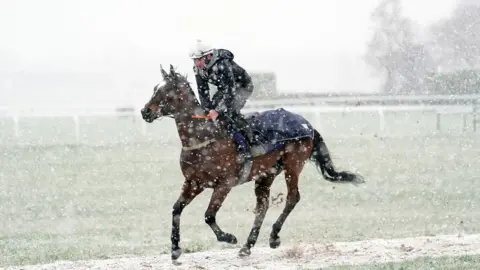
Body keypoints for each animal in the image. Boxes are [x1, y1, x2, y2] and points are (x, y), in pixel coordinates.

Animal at [139, 64, 364, 262]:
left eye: (167, 91)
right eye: (155, 88)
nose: (145, 112)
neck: (203, 138)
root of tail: (306, 123)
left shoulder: (224, 184)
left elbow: (209, 215)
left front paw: (229, 238)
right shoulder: (193, 183)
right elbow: (176, 209)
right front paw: (175, 249)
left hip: (293, 165)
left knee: (292, 198)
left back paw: (273, 236)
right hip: (267, 173)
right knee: (263, 205)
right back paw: (248, 246)